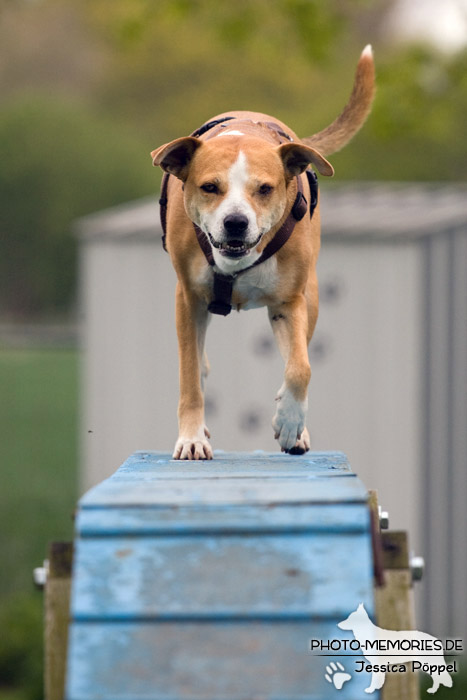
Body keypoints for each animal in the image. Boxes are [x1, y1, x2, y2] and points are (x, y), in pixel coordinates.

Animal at [152, 43, 374, 460]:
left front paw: (288, 423)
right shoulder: (187, 298)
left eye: (265, 189)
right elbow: (189, 376)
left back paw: (298, 428)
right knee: (198, 363)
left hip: (310, 296)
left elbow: (301, 367)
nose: (236, 222)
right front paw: (191, 438)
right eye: (210, 187)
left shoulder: (289, 302)